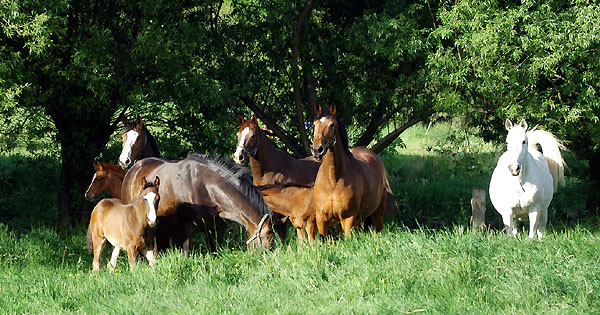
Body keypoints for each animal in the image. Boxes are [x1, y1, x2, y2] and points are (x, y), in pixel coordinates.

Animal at [310, 105, 390, 238]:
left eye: (332, 125)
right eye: (314, 124)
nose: (317, 150)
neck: (333, 181)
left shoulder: (348, 218)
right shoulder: (322, 220)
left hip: (377, 214)